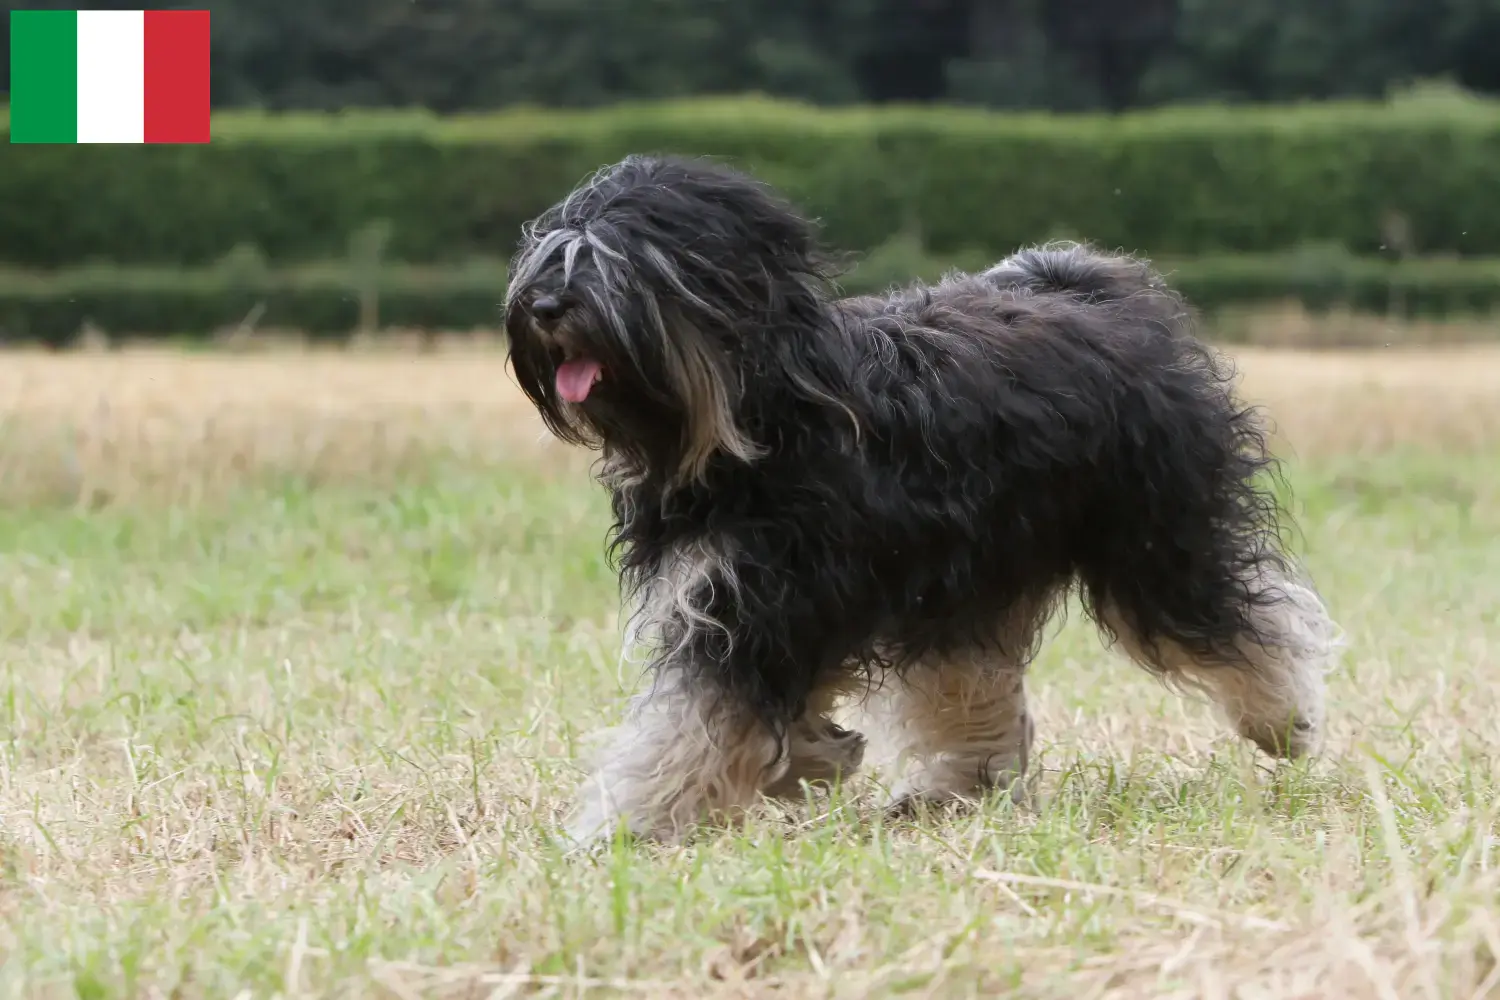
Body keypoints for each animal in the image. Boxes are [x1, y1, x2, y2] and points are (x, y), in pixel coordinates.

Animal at [501, 152, 1338, 851]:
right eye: (550, 251)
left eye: (618, 262)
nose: (542, 305)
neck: (760, 417)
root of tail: (1091, 288)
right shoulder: (763, 598)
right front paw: (817, 757)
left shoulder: (762, 602)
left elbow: (689, 727)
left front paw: (619, 831)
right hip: (967, 580)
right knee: (970, 683)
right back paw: (953, 788)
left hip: (1150, 537)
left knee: (1236, 619)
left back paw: (1285, 723)